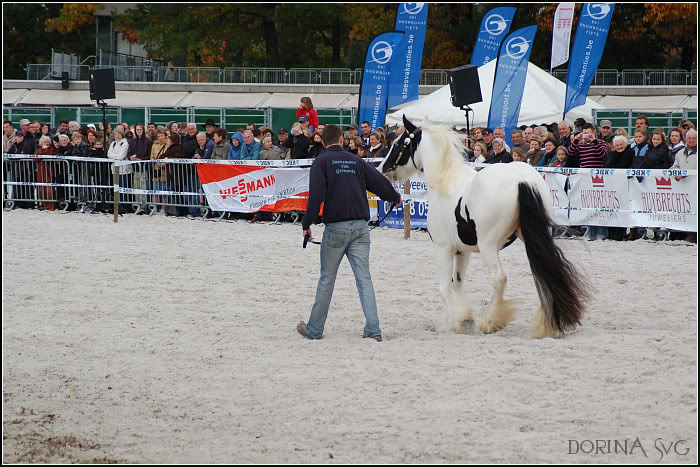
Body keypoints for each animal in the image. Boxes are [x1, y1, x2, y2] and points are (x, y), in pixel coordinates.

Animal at [380, 115, 588, 338]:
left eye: (397, 143)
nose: (382, 168)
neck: (445, 183)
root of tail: (521, 180)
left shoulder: (444, 249)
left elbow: (444, 288)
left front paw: (461, 320)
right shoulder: (462, 251)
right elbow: (457, 283)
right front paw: (460, 320)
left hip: (489, 246)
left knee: (500, 278)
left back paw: (491, 322)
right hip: (534, 237)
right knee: (543, 273)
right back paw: (547, 324)